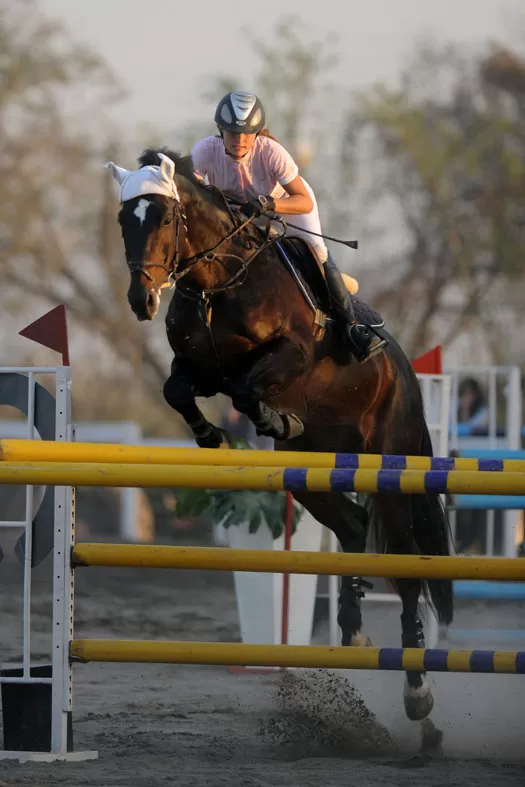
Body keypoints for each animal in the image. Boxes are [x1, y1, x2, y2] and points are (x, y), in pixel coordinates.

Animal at [104, 146, 452, 720]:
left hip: (390, 468)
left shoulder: (287, 356)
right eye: (122, 220)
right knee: (354, 526)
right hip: (311, 474)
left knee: (404, 565)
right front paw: (212, 437)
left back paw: (418, 689)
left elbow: (249, 389)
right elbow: (176, 390)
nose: (142, 300)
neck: (218, 284)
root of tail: (404, 372)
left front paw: (274, 418)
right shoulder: (203, 369)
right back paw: (352, 632)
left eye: (165, 217)